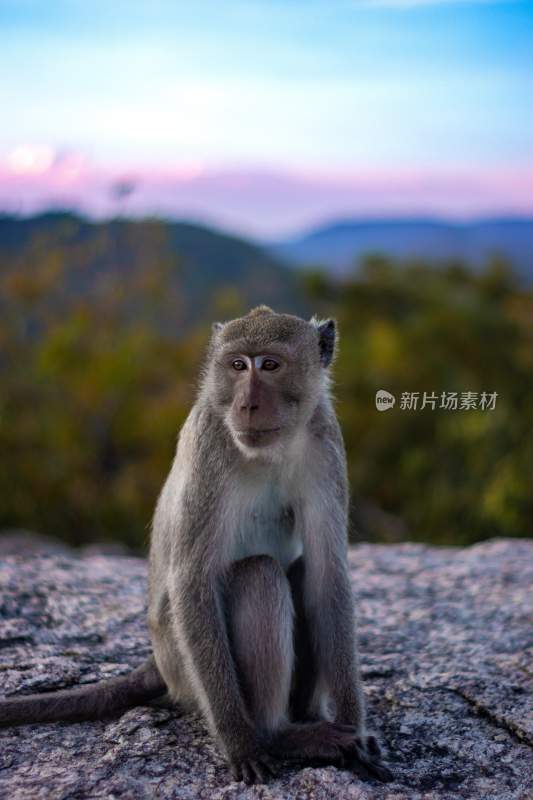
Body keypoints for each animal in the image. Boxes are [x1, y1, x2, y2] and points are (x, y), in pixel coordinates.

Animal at [0, 310, 390, 784]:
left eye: (270, 365)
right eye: (238, 365)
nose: (247, 405)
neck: (268, 452)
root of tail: (158, 662)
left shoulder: (325, 442)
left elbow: (326, 576)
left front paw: (357, 730)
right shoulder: (210, 444)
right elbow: (192, 581)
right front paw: (239, 741)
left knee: (296, 571)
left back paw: (308, 718)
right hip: (182, 663)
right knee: (259, 574)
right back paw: (279, 734)